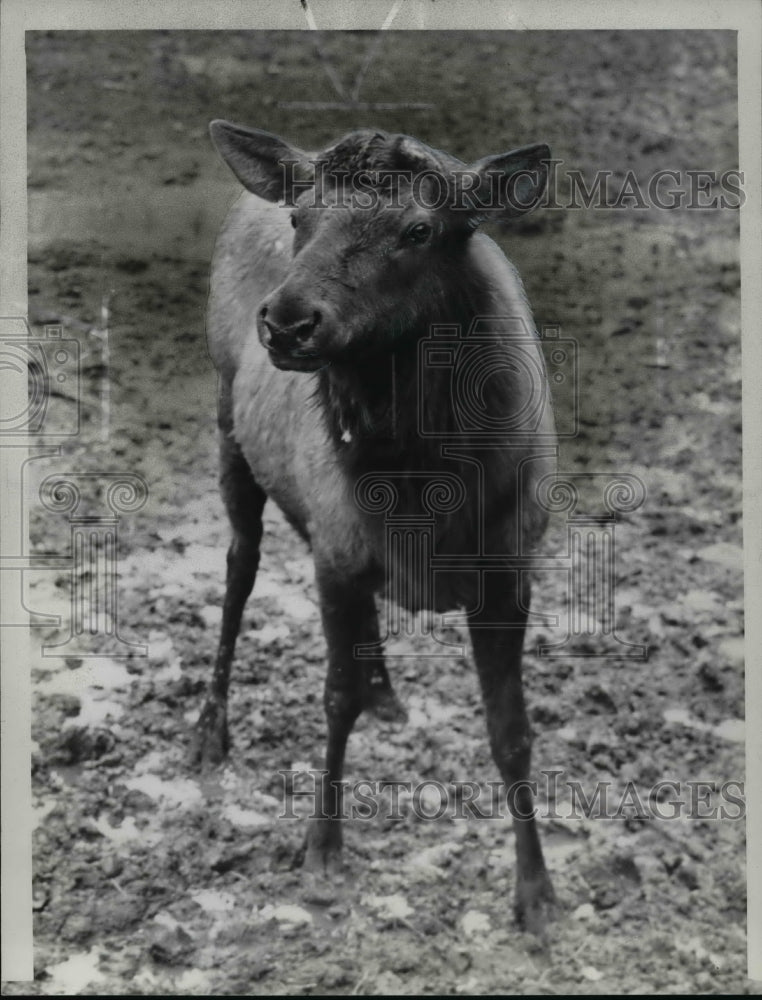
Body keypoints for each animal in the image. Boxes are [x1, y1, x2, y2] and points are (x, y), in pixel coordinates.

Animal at [193, 121, 556, 932]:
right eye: (302, 218)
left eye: (419, 229)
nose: (287, 320)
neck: (423, 494)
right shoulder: (338, 554)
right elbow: (335, 701)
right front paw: (321, 853)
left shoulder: (508, 570)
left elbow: (512, 732)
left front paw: (536, 892)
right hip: (228, 421)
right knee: (239, 567)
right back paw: (208, 730)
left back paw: (386, 687)